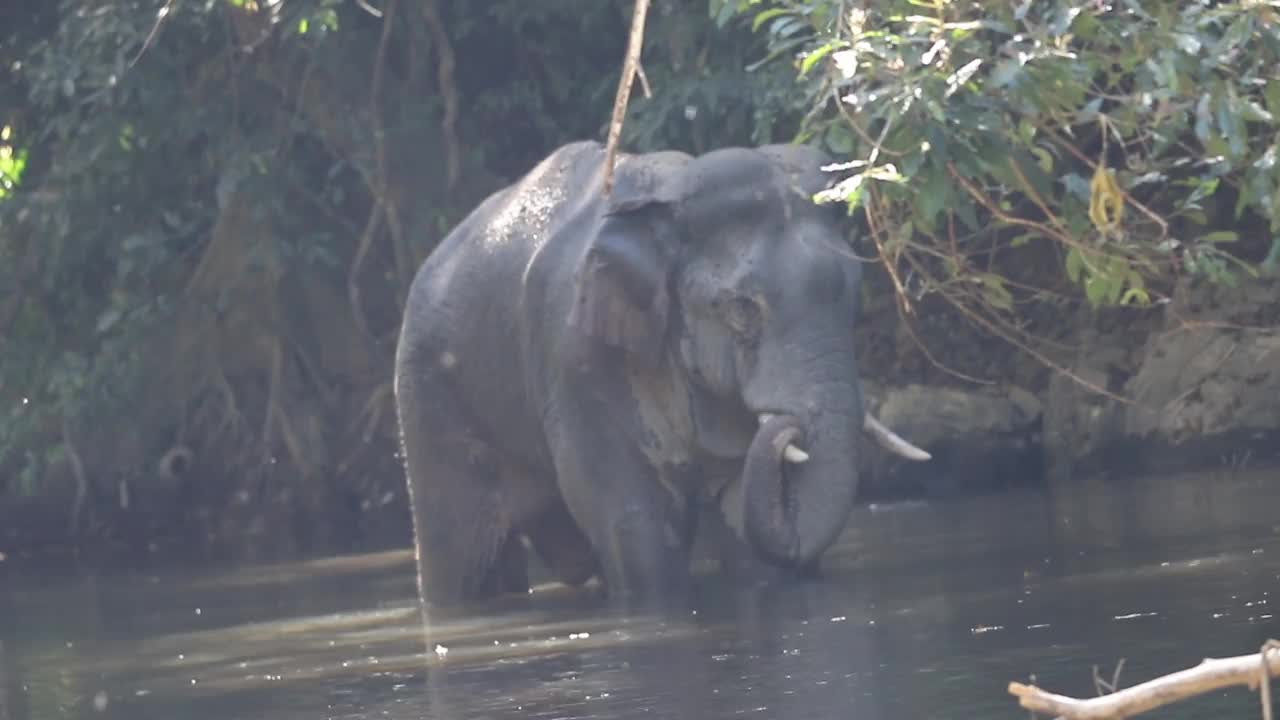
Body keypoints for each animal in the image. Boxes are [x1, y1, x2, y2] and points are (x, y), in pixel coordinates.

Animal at [391, 139, 931, 604]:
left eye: (853, 292)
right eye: (742, 308)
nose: (787, 426)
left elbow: (740, 511)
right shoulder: (574, 360)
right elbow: (629, 519)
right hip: (429, 403)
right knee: (462, 560)